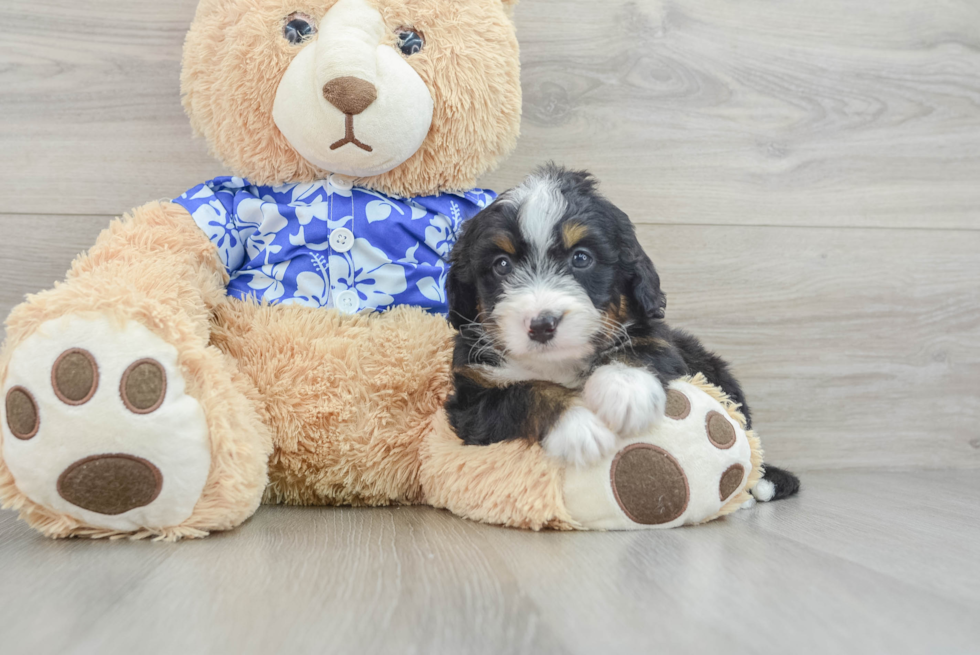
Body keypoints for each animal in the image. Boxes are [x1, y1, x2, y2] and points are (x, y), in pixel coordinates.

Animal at [444, 164, 796, 502]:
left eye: (581, 258)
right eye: (502, 265)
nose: (543, 324)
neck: (557, 364)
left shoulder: (662, 340)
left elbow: (642, 346)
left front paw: (626, 391)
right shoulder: (471, 397)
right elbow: (525, 393)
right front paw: (579, 426)